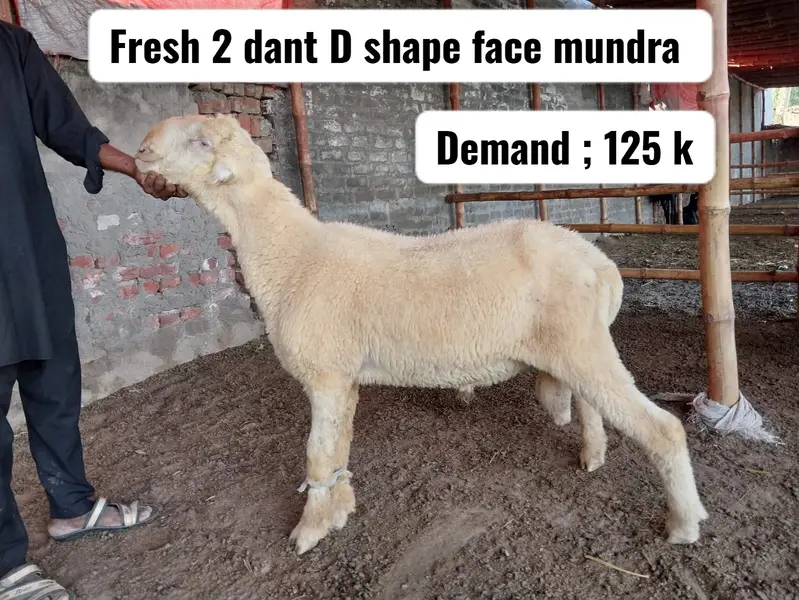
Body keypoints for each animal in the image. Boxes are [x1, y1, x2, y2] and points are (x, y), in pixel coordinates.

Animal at [134, 113, 708, 555]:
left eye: (201, 142)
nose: (141, 148)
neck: (291, 256)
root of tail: (601, 263)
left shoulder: (324, 372)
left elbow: (317, 454)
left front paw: (309, 530)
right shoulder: (343, 378)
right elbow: (338, 448)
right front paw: (340, 508)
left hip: (580, 344)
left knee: (663, 430)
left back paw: (683, 523)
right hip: (574, 344)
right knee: (591, 402)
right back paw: (593, 455)